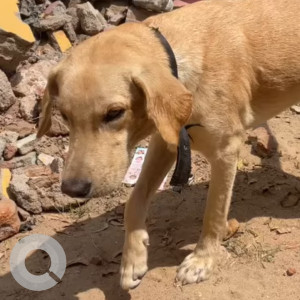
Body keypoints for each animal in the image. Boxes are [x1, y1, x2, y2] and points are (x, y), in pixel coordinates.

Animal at [37, 0, 300, 290]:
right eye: (64, 115)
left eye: (114, 112)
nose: (72, 189)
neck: (180, 58)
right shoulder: (165, 141)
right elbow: (134, 200)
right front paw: (133, 258)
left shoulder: (226, 151)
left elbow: (214, 213)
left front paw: (202, 260)